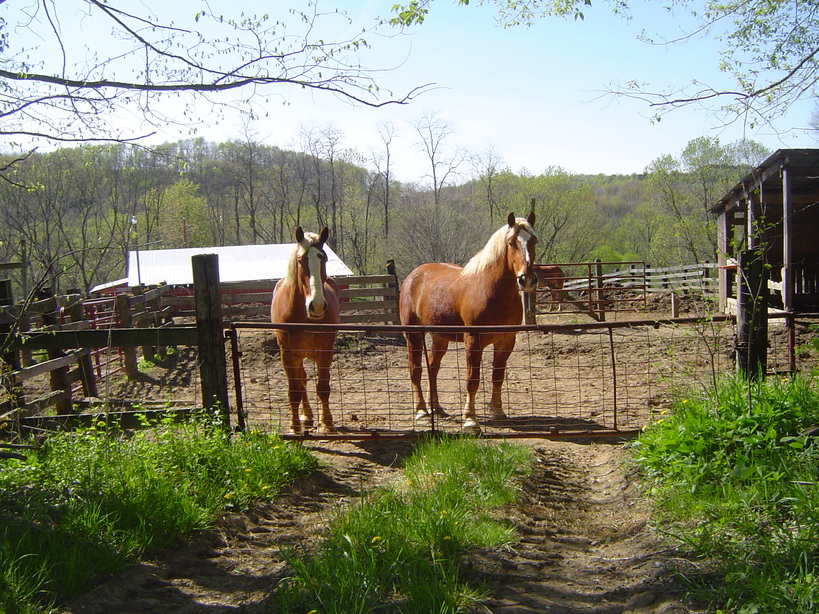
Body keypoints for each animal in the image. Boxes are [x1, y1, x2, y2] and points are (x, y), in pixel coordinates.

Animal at [270, 227, 342, 438]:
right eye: (300, 260)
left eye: (323, 259)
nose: (316, 305)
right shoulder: (287, 354)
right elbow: (293, 390)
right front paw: (294, 427)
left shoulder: (326, 352)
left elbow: (323, 388)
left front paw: (327, 423)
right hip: (296, 356)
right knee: (300, 381)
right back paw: (305, 416)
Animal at [398, 212, 540, 434]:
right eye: (511, 243)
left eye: (533, 240)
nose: (527, 280)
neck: (491, 291)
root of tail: (413, 277)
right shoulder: (473, 341)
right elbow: (472, 380)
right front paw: (470, 421)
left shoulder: (506, 341)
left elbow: (497, 376)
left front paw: (498, 413)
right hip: (413, 336)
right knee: (416, 370)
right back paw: (421, 411)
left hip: (439, 338)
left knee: (432, 368)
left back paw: (436, 408)